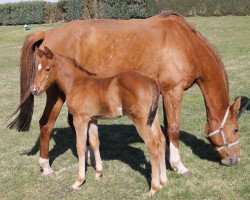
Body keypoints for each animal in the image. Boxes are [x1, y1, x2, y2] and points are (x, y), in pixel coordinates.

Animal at [8, 12, 241, 175]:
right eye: (236, 129)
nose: (235, 160)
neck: (185, 43)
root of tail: (48, 33)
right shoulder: (173, 91)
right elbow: (173, 128)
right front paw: (178, 165)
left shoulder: (162, 95)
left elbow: (165, 129)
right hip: (55, 94)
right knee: (46, 124)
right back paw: (46, 166)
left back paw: (90, 159)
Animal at [31, 46, 168, 195]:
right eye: (36, 68)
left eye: (47, 69)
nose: (34, 90)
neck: (76, 83)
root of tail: (150, 82)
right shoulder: (92, 120)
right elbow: (94, 142)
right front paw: (98, 173)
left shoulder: (80, 119)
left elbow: (81, 146)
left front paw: (78, 181)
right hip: (152, 118)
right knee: (161, 140)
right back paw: (163, 181)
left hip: (140, 121)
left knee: (152, 145)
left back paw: (154, 187)